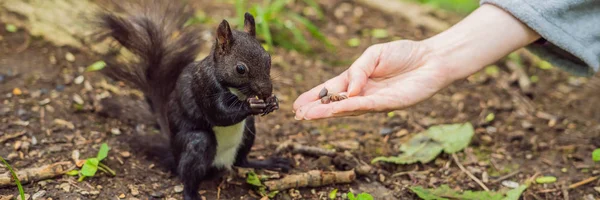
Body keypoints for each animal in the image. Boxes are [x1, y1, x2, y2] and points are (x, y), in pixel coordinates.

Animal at [96, 1, 292, 198]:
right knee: (188, 175)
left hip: (248, 131)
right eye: (240, 69)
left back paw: (269, 163)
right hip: (198, 144)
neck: (237, 91)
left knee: (241, 161)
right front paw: (251, 105)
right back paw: (192, 193)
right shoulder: (204, 87)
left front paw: (273, 101)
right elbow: (219, 114)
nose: (267, 90)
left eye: (268, 58)